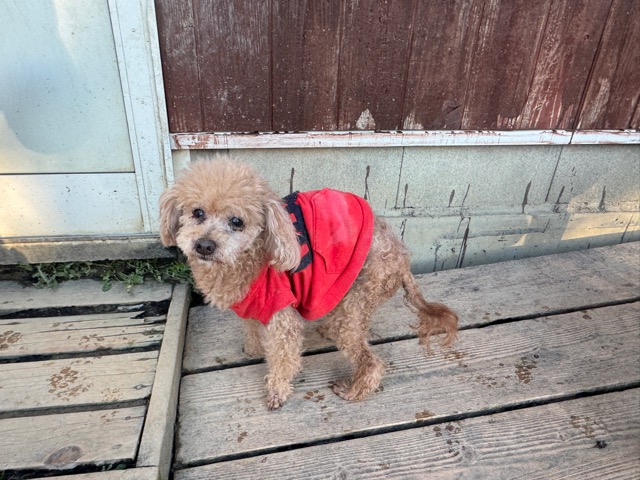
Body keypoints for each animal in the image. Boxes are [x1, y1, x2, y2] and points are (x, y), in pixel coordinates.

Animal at [159, 159, 458, 409]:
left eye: (237, 221)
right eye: (198, 212)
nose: (204, 245)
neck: (249, 259)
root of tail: (402, 257)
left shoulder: (282, 316)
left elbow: (283, 359)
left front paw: (277, 392)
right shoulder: (252, 306)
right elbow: (253, 330)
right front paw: (254, 349)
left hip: (360, 295)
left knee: (371, 362)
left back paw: (353, 390)